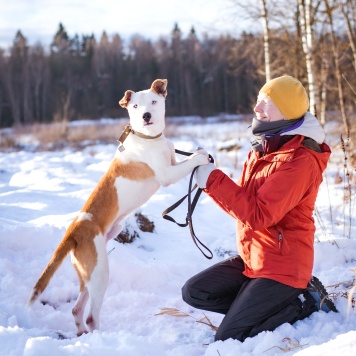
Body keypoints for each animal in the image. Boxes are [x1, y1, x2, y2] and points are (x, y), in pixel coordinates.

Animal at [29, 78, 210, 336]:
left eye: (154, 101)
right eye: (134, 106)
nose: (145, 115)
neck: (149, 138)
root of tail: (72, 233)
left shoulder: (172, 161)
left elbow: (183, 158)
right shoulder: (167, 174)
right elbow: (190, 162)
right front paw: (202, 157)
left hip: (89, 274)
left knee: (77, 309)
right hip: (100, 273)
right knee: (91, 315)